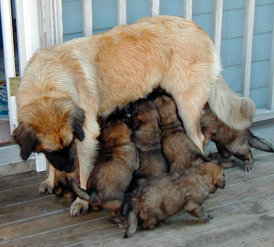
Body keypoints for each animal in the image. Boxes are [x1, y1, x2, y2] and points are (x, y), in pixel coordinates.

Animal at [11, 15, 254, 216]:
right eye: (53, 150)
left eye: (71, 143)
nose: (69, 169)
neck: (46, 82)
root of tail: (199, 30)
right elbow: (52, 162)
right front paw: (51, 180)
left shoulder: (87, 135)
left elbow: (85, 174)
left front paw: (81, 201)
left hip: (187, 103)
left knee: (198, 139)